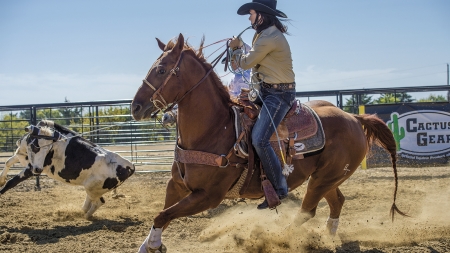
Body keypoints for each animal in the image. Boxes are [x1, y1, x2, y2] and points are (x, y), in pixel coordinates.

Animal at [0, 121, 134, 218]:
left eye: (48, 148)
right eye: (35, 146)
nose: (38, 170)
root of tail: (129, 166)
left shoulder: (30, 167)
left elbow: (11, 182)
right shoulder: (22, 157)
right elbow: (7, 162)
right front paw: (1, 179)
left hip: (94, 188)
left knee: (99, 202)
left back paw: (85, 217)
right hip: (92, 188)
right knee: (91, 201)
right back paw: (80, 212)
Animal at [130, 33, 404, 251]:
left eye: (162, 69)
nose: (135, 107)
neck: (214, 129)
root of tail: (354, 118)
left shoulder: (208, 196)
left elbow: (163, 214)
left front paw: (153, 245)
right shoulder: (176, 186)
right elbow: (163, 214)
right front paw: (149, 245)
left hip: (324, 179)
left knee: (307, 210)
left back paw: (282, 238)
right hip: (326, 178)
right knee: (336, 201)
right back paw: (328, 237)